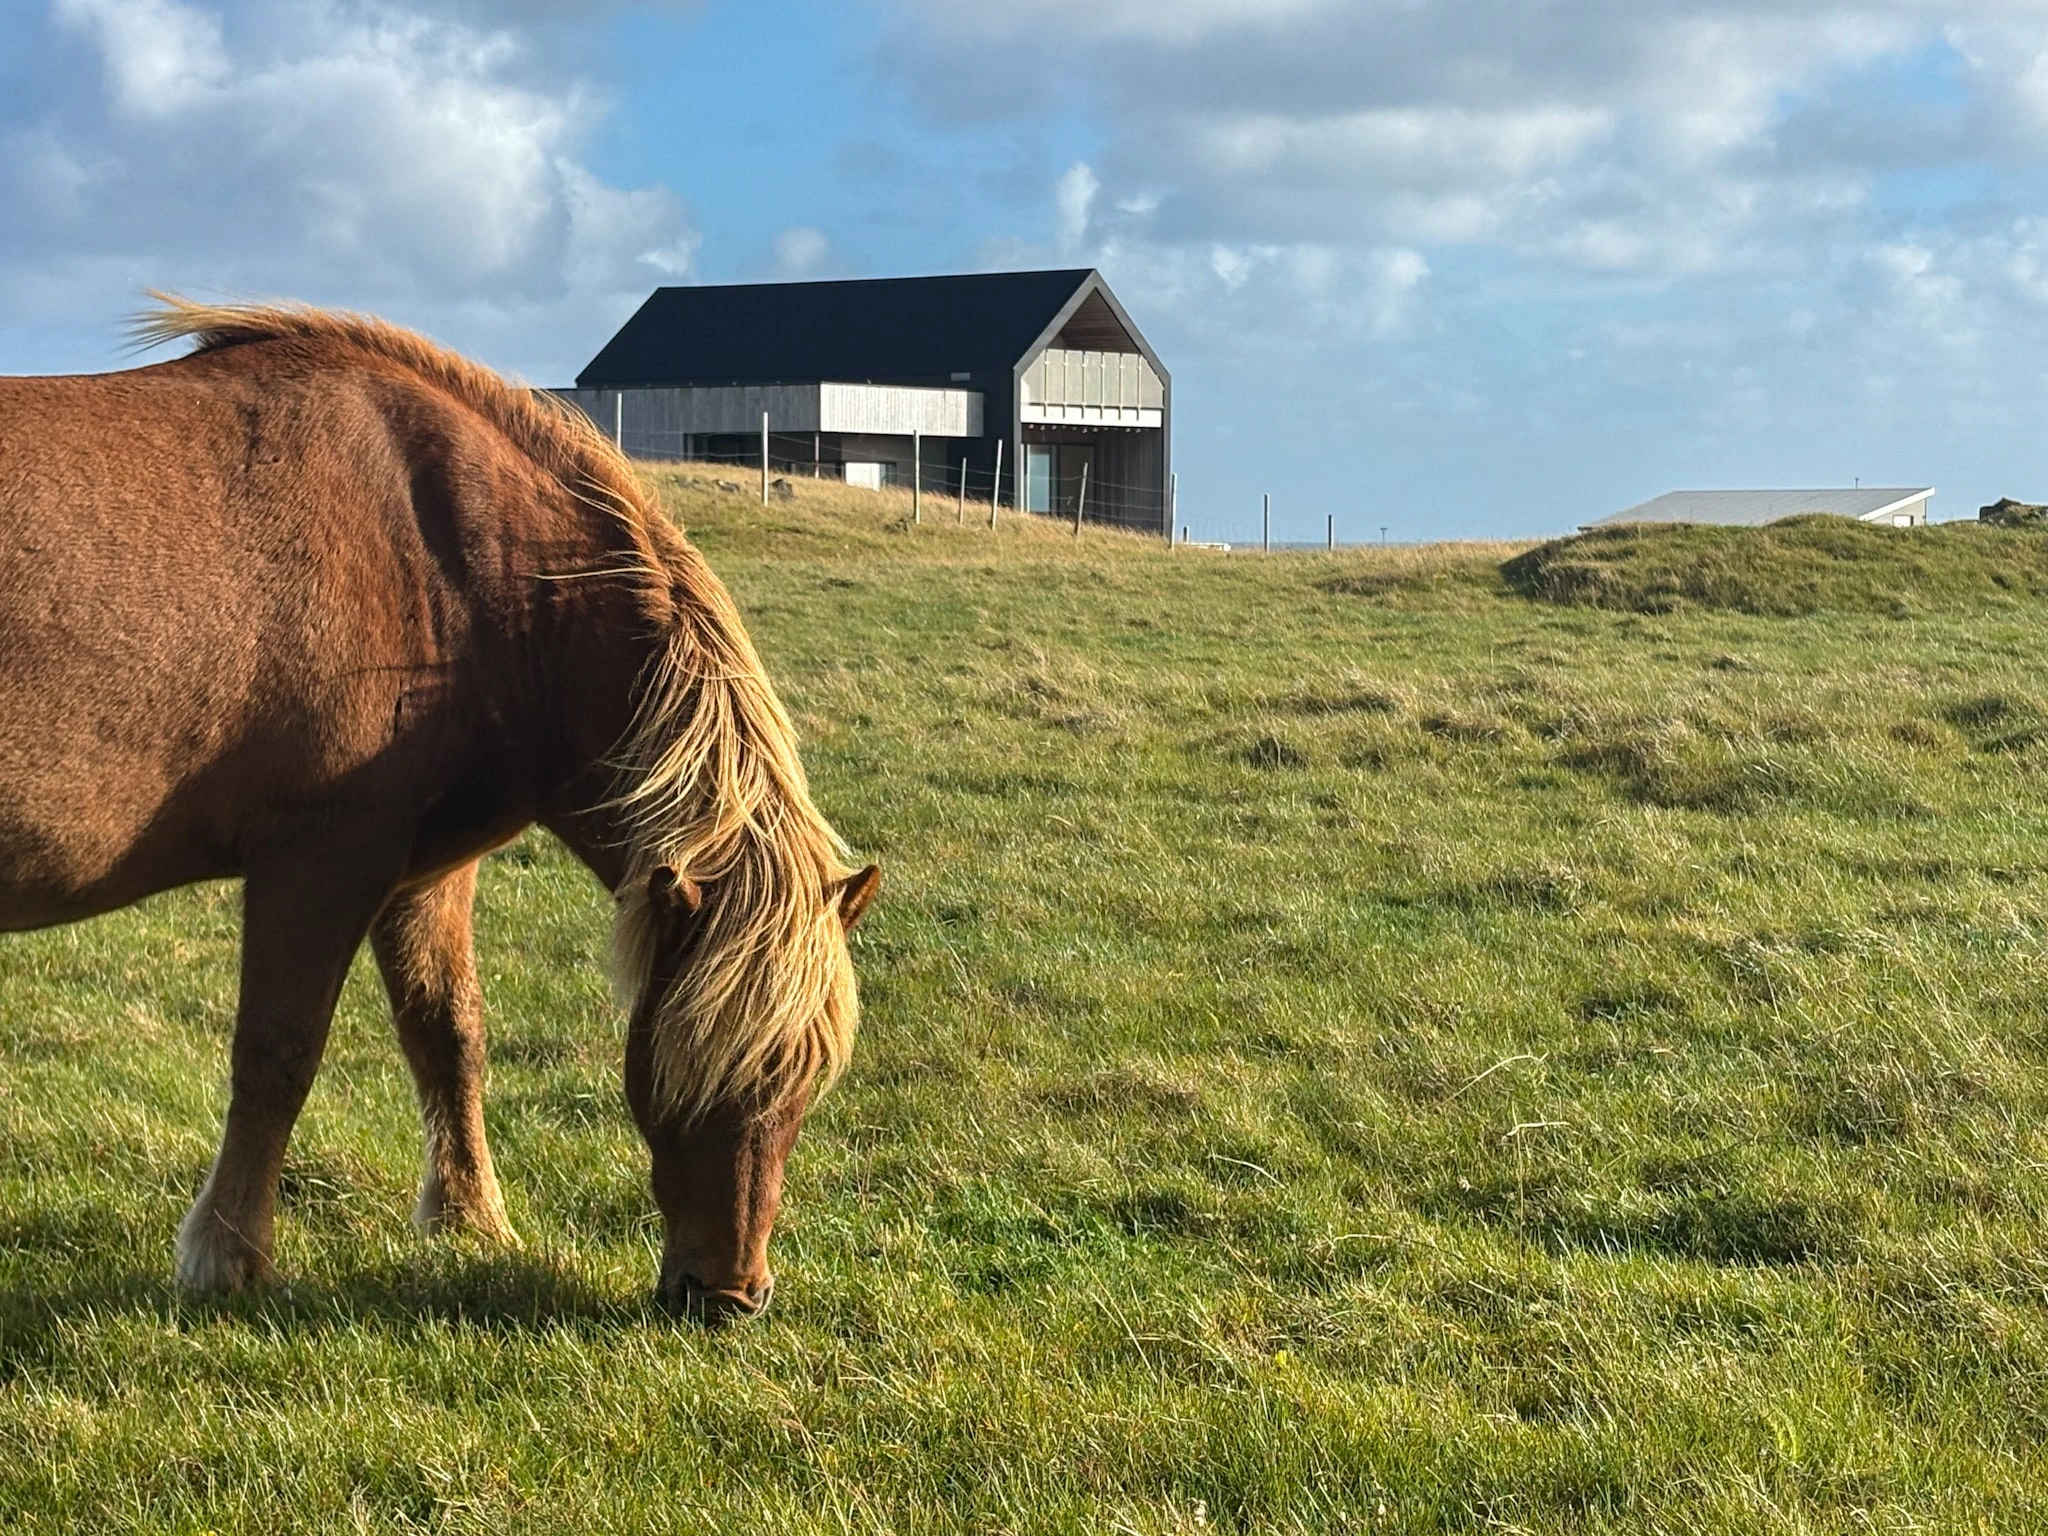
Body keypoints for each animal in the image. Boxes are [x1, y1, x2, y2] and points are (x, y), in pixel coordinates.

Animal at [0, 298, 879, 1323]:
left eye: (809, 1075)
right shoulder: (320, 862)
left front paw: (472, 1222)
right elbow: (277, 1054)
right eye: (680, 1061)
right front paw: (228, 1256)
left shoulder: (428, 870)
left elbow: (448, 1036)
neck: (458, 563)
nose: (728, 1295)